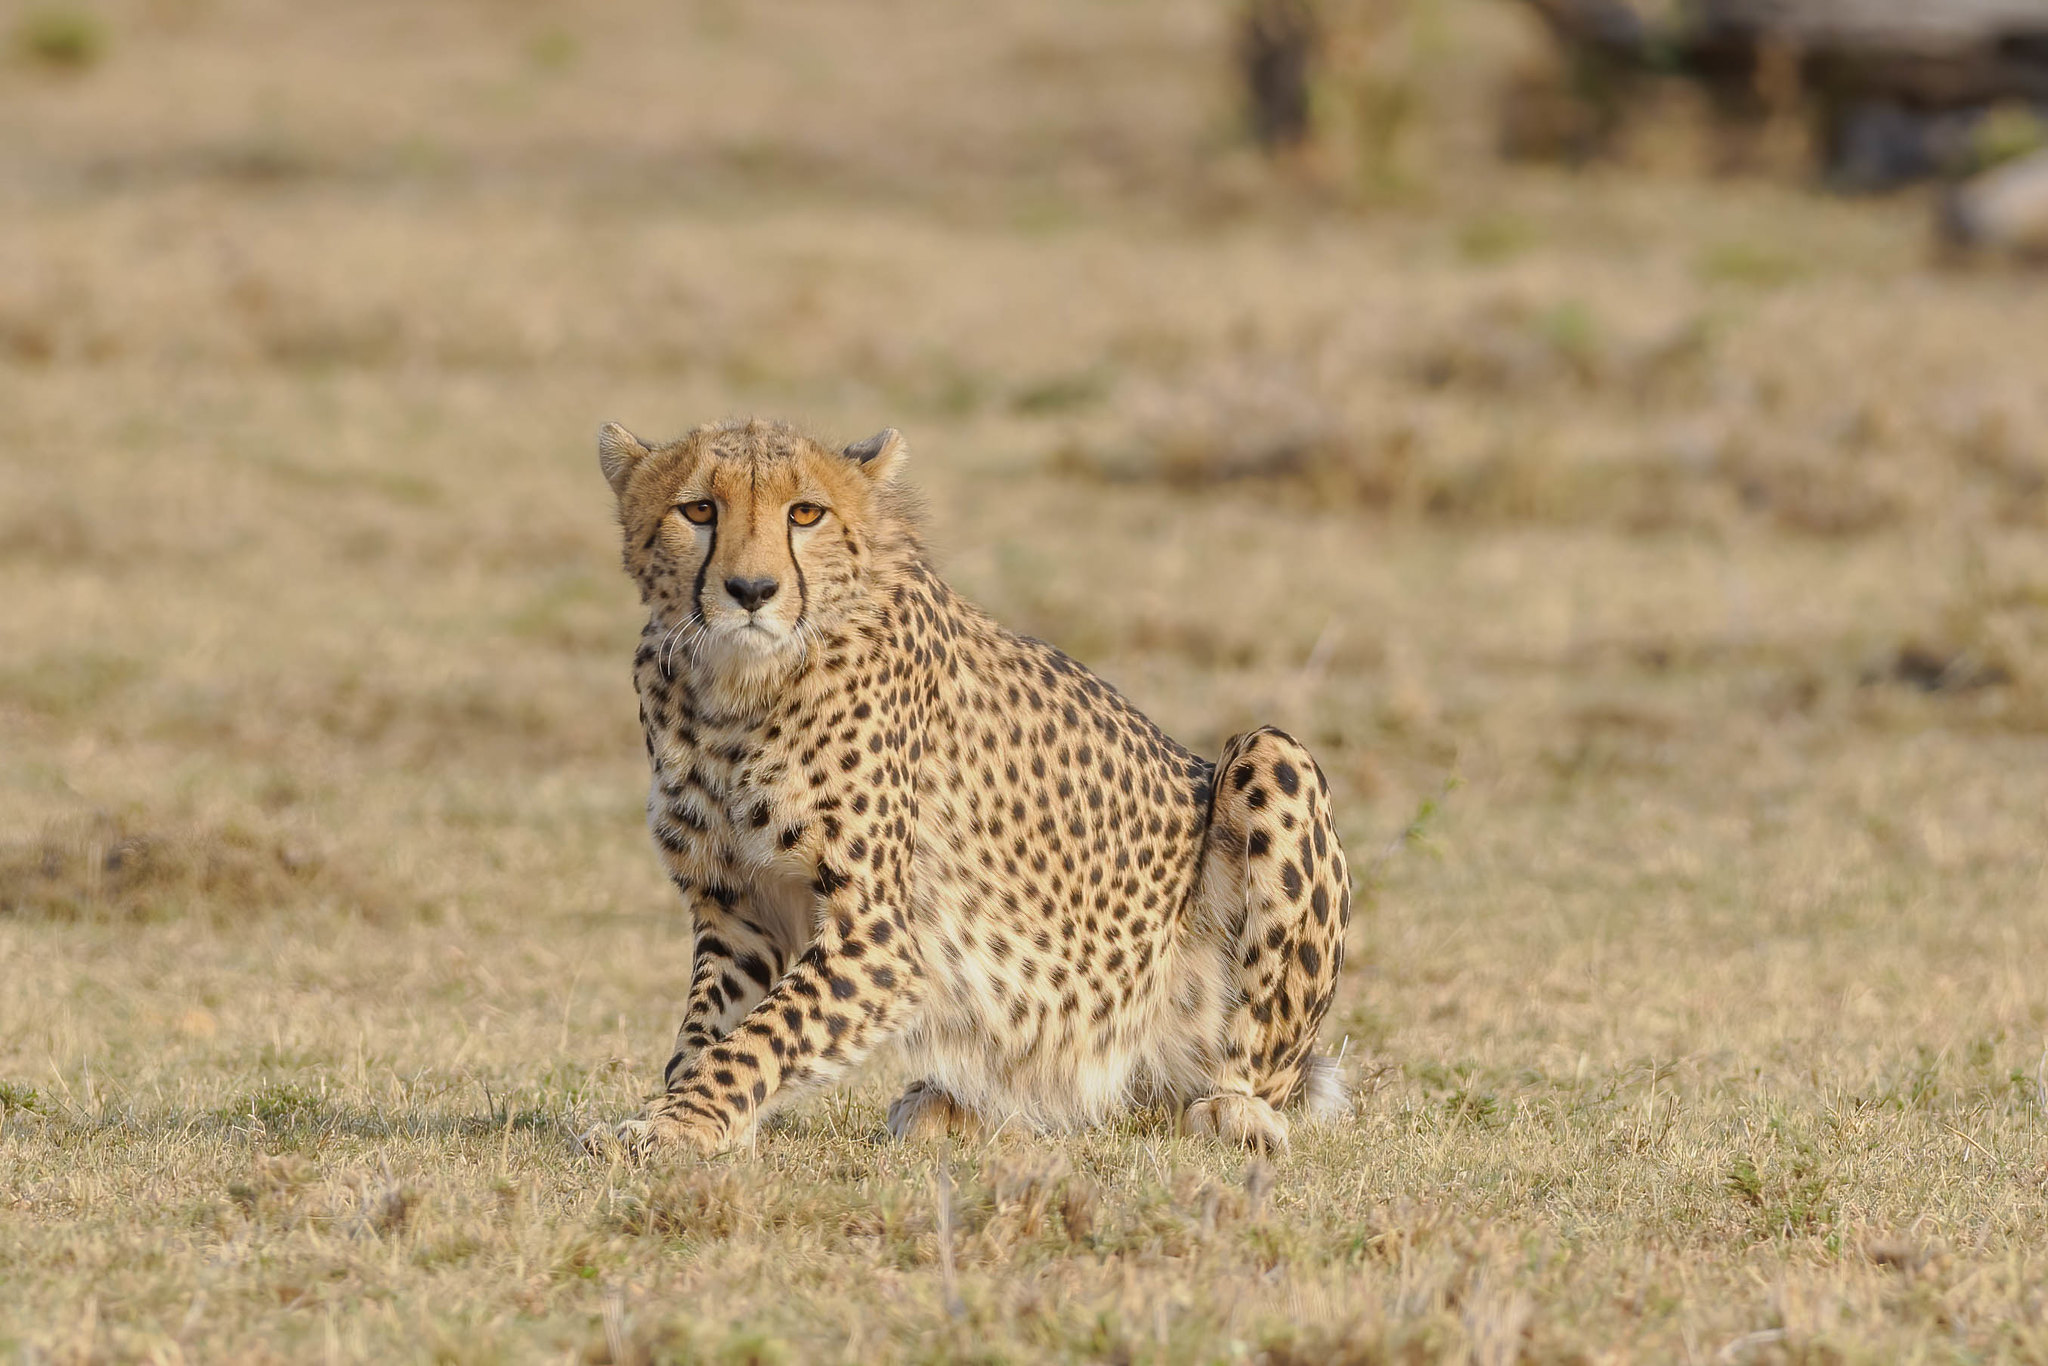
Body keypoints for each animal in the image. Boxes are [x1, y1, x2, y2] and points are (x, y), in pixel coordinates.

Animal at [581, 417, 1351, 1159]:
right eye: (698, 509)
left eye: (805, 513)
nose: (751, 592)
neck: (735, 687)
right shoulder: (739, 909)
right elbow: (712, 1029)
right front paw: (686, 1113)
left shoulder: (881, 940)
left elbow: (764, 1034)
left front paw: (676, 1124)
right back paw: (952, 1108)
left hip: (1275, 758)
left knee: (1252, 1069)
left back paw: (1232, 1111)